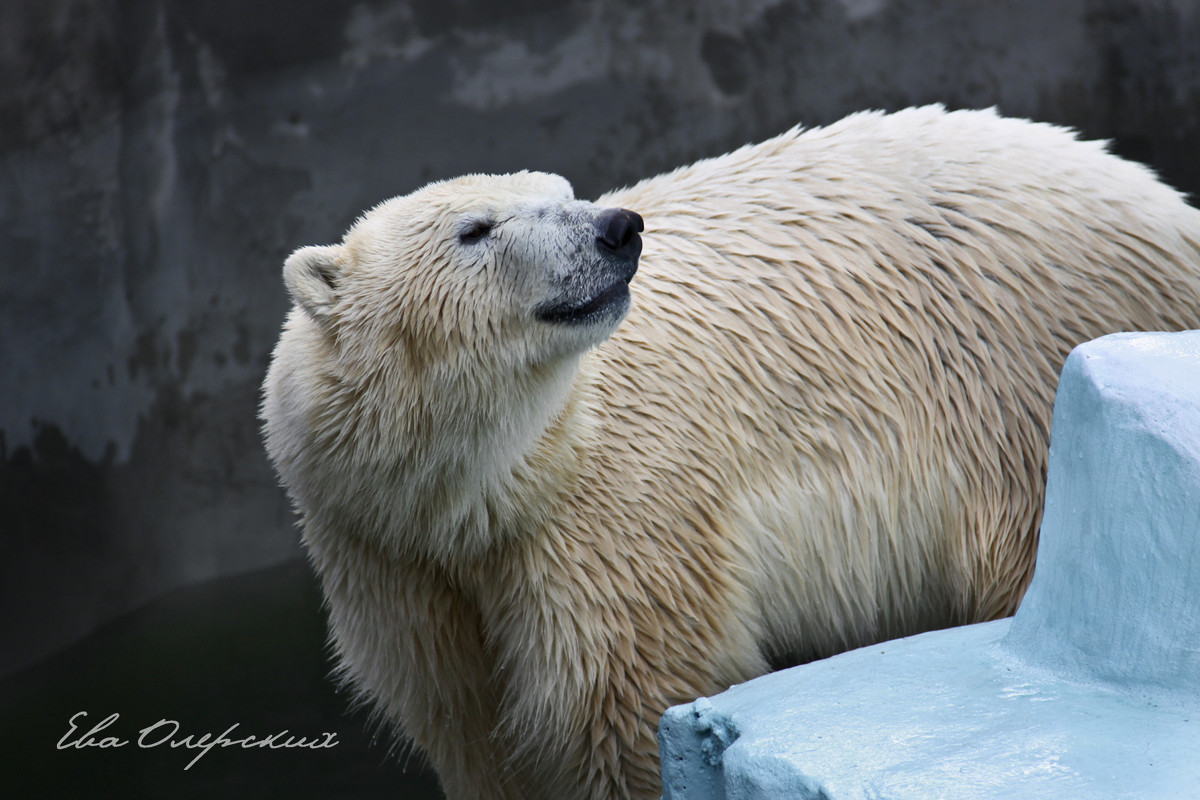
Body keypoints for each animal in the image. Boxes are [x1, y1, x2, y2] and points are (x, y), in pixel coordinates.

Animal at [260, 107, 1200, 800]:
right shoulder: (391, 559)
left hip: (1017, 402)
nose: (616, 229)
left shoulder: (616, 518)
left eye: (564, 191)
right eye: (476, 228)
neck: (482, 488)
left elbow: (633, 703)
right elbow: (475, 730)